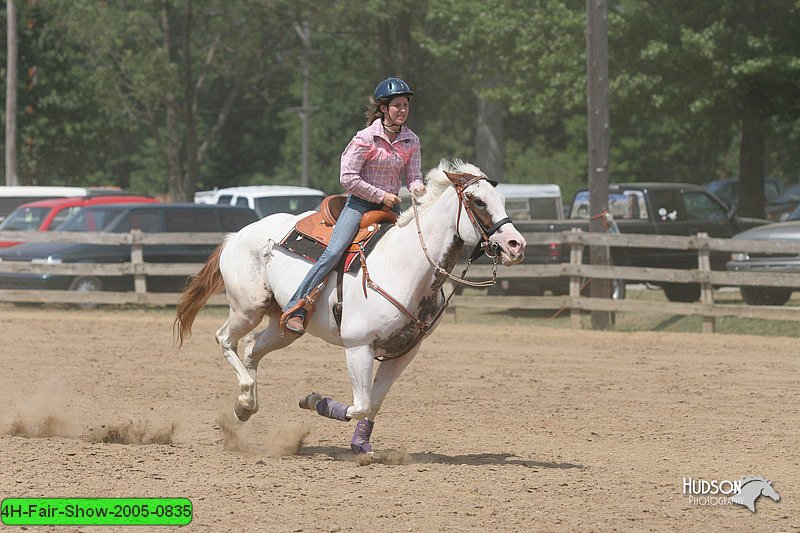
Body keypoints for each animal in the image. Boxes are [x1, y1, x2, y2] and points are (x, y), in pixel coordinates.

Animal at [174, 158, 524, 454]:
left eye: (502, 201)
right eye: (478, 201)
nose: (516, 245)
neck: (404, 266)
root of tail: (236, 235)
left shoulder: (404, 352)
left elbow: (374, 403)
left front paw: (361, 446)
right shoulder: (358, 347)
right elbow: (361, 403)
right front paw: (314, 400)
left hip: (284, 326)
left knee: (250, 348)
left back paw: (244, 406)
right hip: (247, 309)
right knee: (225, 338)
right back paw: (245, 397)